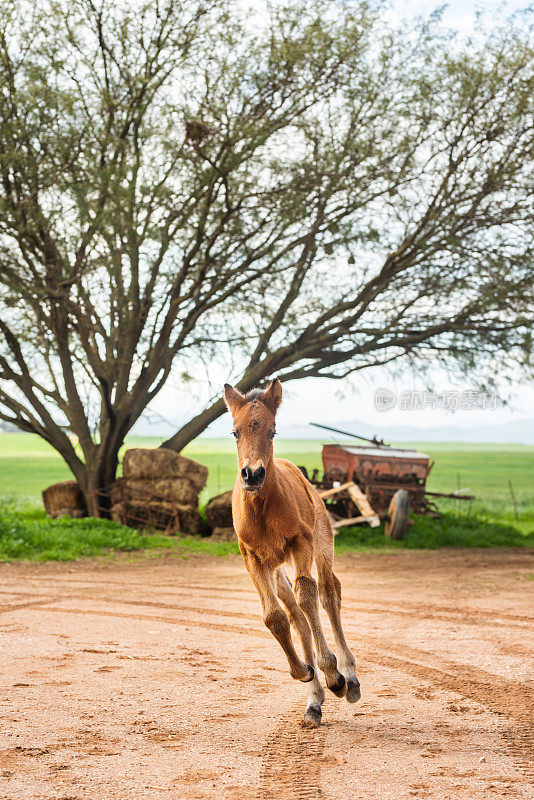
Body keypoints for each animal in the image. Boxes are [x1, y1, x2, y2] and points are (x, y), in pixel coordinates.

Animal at [224, 378, 362, 728]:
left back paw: (348, 677)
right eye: (235, 432)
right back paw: (314, 701)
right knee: (295, 615)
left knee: (327, 593)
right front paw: (305, 672)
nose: (252, 474)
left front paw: (333, 674)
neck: (262, 508)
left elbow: (309, 595)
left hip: (321, 544)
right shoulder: (252, 558)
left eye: (272, 431)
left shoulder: (301, 542)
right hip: (276, 567)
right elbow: (274, 617)